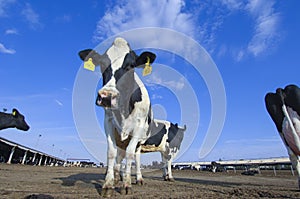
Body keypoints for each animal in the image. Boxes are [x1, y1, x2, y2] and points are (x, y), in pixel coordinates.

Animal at [78, 37, 157, 197]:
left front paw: (127, 184)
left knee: (136, 156)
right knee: (120, 156)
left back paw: (138, 178)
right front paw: (108, 184)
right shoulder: (108, 122)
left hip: (141, 139)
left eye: (131, 66)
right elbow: (111, 152)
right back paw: (116, 176)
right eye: (102, 64)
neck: (124, 109)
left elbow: (130, 154)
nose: (107, 96)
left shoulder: (138, 127)